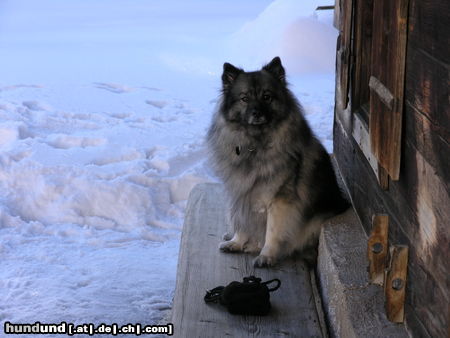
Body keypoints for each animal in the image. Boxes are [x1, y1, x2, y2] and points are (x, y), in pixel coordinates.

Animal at [206, 56, 350, 266]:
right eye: (244, 98)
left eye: (267, 97)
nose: (257, 113)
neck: (255, 144)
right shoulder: (242, 194)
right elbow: (242, 223)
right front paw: (236, 242)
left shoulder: (279, 200)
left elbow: (273, 232)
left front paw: (266, 256)